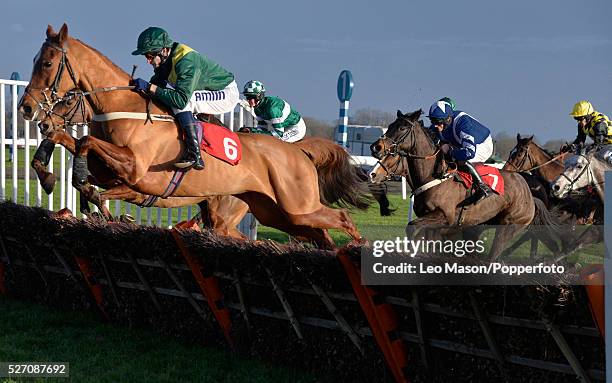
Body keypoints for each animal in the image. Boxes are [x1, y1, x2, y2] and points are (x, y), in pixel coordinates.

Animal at [20, 24, 368, 249]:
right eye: (34, 61)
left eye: (47, 63)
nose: (28, 109)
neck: (124, 109)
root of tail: (297, 152)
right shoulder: (114, 175)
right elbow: (76, 147)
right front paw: (51, 176)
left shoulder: (136, 170)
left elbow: (85, 145)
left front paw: (80, 183)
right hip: (276, 213)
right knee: (318, 233)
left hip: (296, 205)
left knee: (340, 217)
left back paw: (359, 247)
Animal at [370, 110, 556, 260]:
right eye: (390, 126)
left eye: (402, 128)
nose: (375, 147)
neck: (433, 174)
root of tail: (529, 195)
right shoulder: (433, 224)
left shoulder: (446, 217)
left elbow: (412, 227)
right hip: (477, 227)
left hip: (509, 226)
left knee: (494, 255)